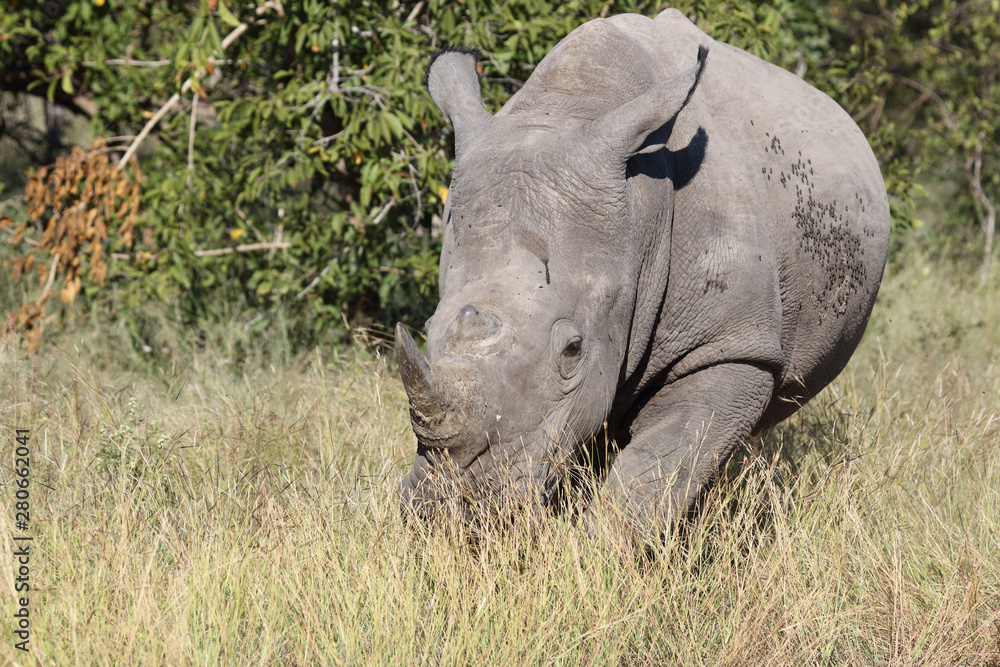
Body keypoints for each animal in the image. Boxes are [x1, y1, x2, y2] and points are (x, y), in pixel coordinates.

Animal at [394, 9, 890, 534]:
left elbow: (657, 470)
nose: (455, 505)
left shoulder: (728, 347)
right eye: (427, 327)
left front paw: (601, 550)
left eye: (573, 350)